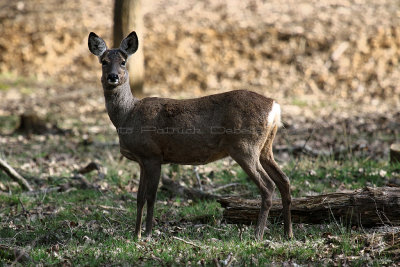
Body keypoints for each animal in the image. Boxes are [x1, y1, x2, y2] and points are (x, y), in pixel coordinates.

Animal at [88, 30, 294, 241]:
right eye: (103, 61)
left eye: (123, 61)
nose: (113, 76)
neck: (127, 116)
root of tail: (275, 107)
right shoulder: (142, 159)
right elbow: (139, 197)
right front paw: (136, 234)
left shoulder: (153, 154)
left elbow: (151, 197)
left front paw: (147, 233)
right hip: (265, 147)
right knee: (284, 181)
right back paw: (288, 233)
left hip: (245, 146)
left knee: (268, 186)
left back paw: (258, 235)